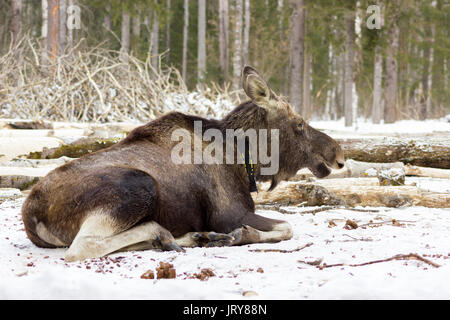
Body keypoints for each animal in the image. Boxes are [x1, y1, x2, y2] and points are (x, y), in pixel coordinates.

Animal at [21, 66, 344, 262]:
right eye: (299, 123)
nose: (338, 154)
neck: (244, 160)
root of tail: (31, 215)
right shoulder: (228, 213)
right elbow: (287, 226)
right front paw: (242, 235)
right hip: (139, 186)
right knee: (81, 247)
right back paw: (164, 234)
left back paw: (190, 237)